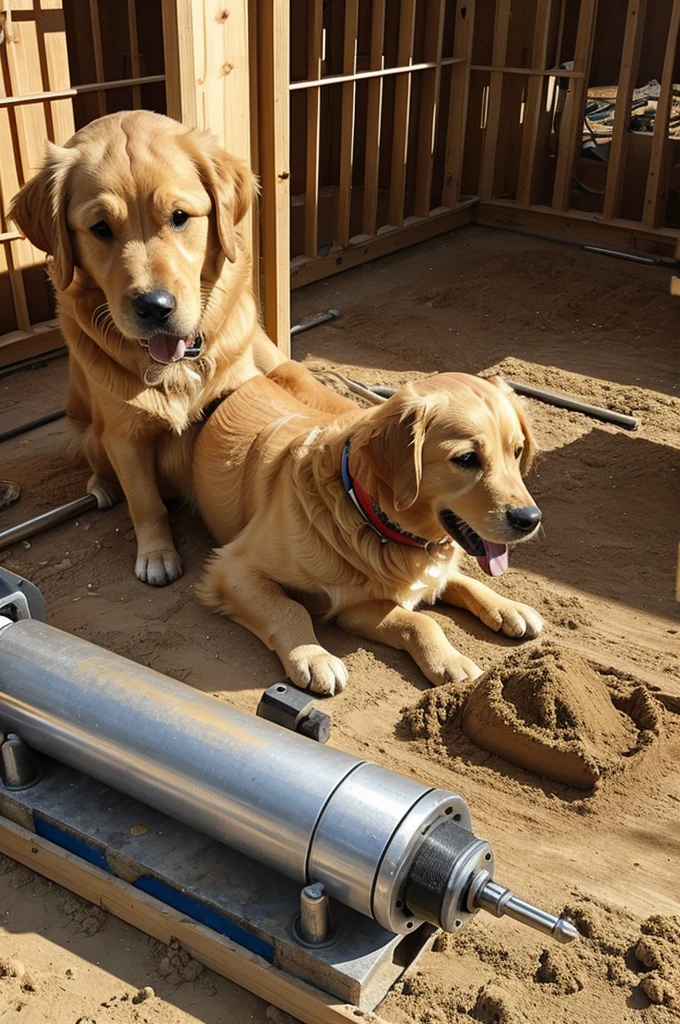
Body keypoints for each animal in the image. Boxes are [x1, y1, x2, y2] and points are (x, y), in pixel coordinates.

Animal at [13, 111, 284, 585]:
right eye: (100, 228)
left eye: (179, 217)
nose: (154, 307)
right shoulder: (122, 436)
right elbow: (145, 502)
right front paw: (156, 555)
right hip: (89, 437)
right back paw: (101, 488)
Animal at [193, 362, 544, 696]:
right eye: (467, 458)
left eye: (517, 451)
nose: (530, 519)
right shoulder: (231, 567)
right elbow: (290, 607)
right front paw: (314, 656)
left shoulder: (355, 605)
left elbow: (441, 598)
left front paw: (507, 609)